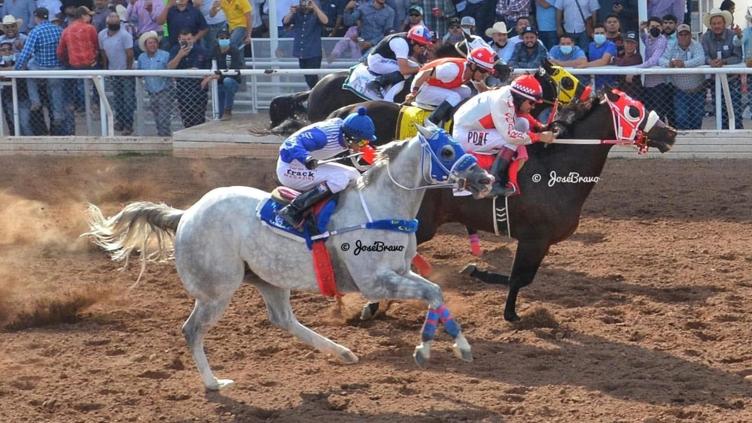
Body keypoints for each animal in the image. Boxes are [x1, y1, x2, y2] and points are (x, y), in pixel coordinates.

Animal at [83, 125, 494, 391]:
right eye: (446, 151)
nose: (485, 180)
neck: (380, 205)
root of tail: (186, 214)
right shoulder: (375, 281)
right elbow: (430, 294)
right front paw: (425, 349)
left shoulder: (399, 271)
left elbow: (436, 293)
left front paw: (458, 347)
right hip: (217, 290)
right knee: (192, 330)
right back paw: (214, 383)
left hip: (269, 280)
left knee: (283, 320)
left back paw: (343, 353)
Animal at [359, 88, 677, 322]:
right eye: (634, 111)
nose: (671, 132)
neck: (555, 169)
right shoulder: (533, 239)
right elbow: (519, 279)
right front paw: (507, 309)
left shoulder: (541, 242)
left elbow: (519, 278)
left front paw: (480, 277)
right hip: (422, 225)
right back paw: (372, 304)